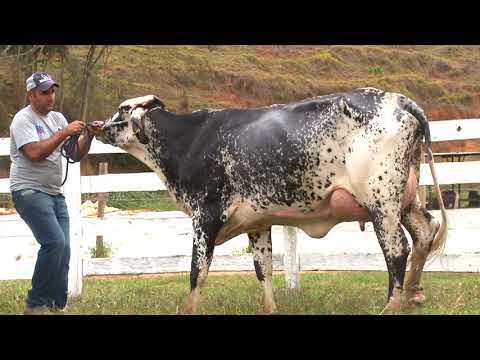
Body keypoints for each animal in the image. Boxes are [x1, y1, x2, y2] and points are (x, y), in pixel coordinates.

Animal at [92, 88, 448, 314]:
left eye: (122, 109)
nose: (97, 125)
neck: (189, 140)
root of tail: (398, 100)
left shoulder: (204, 217)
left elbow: (197, 271)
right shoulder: (258, 222)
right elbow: (263, 269)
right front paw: (270, 308)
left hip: (381, 204)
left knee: (397, 249)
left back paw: (392, 305)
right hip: (406, 201)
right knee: (425, 232)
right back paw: (414, 294)